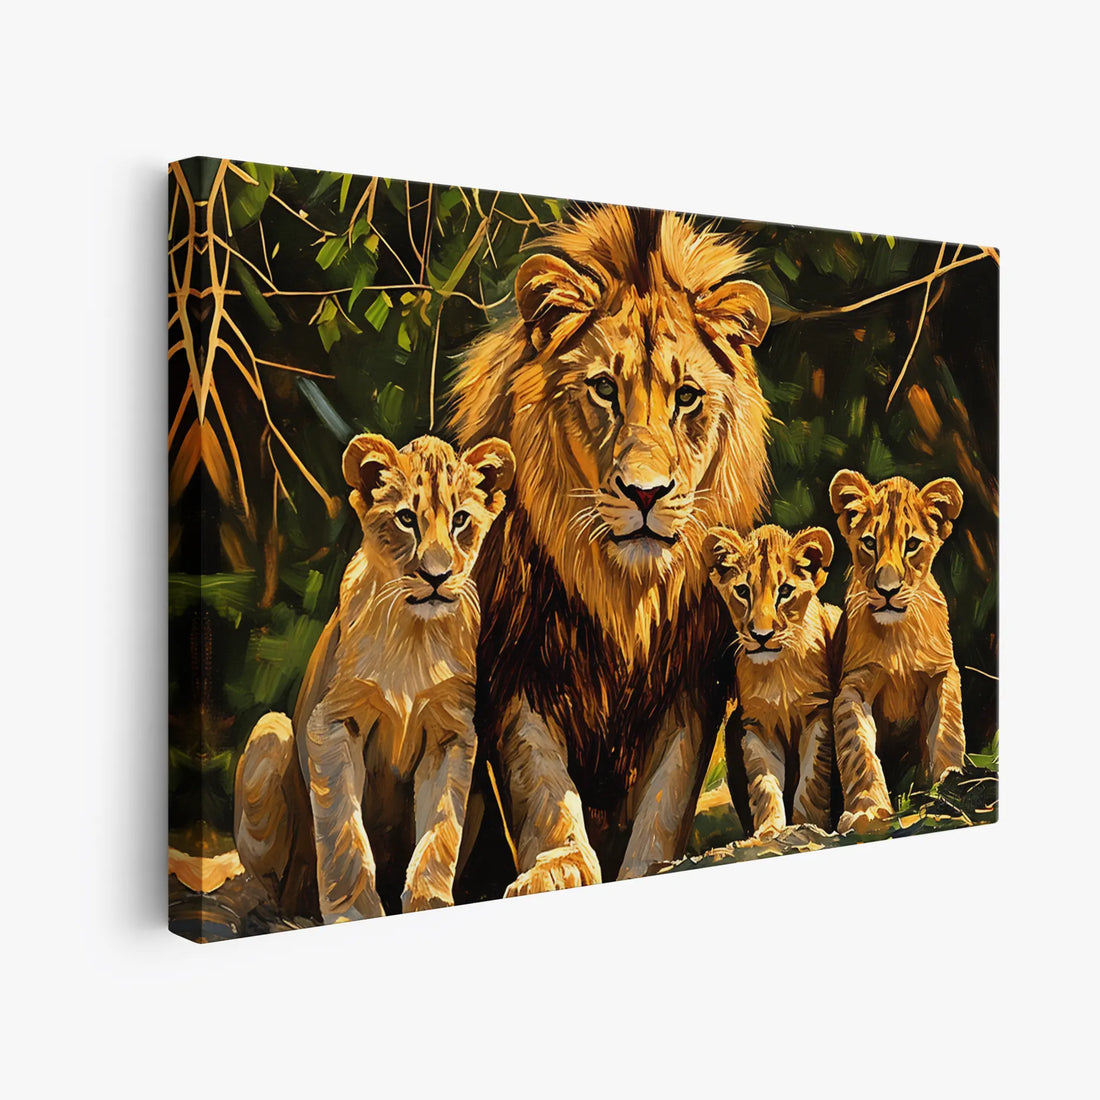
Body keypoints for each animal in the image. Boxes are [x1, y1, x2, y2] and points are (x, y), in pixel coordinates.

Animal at [234, 432, 514, 919]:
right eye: (405, 519)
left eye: (461, 520)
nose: (437, 576)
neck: (414, 634)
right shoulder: (332, 722)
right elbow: (343, 831)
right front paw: (354, 913)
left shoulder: (453, 733)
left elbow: (440, 831)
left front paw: (429, 902)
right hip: (271, 731)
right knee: (268, 878)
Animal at [450, 205, 772, 892]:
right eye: (603, 388)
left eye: (686, 396)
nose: (645, 493)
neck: (624, 592)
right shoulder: (517, 666)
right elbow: (542, 784)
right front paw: (557, 867)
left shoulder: (690, 683)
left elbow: (667, 796)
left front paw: (649, 866)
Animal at [702, 524, 841, 838]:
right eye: (742, 591)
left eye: (785, 591)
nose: (761, 636)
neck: (778, 670)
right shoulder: (755, 725)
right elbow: (764, 783)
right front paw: (769, 830)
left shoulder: (818, 714)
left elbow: (811, 779)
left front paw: (809, 825)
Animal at [828, 470, 966, 834]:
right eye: (869, 543)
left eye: (912, 544)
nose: (887, 591)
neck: (898, 636)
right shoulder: (854, 686)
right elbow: (858, 749)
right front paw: (866, 810)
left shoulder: (942, 673)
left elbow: (947, 731)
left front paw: (949, 782)